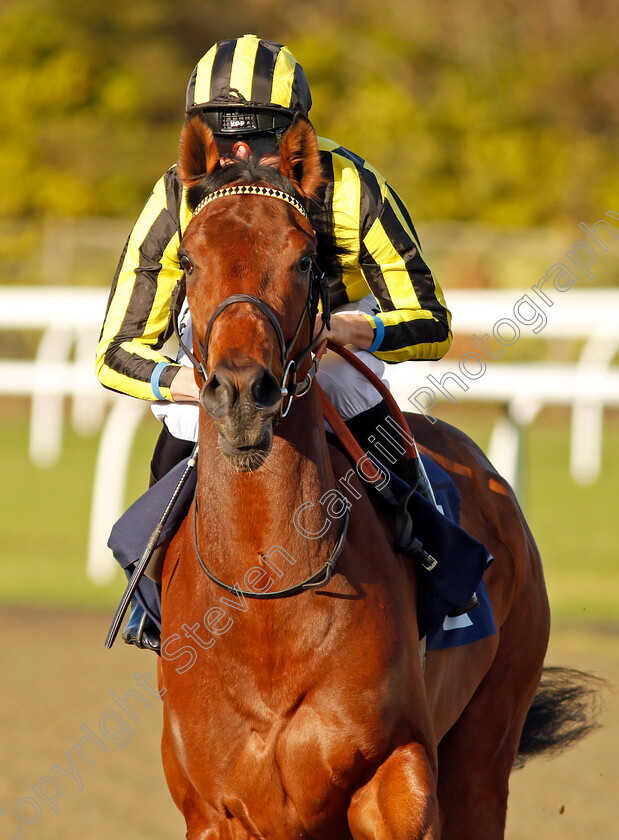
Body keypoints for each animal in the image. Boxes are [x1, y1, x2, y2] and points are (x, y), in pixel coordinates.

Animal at [157, 116, 584, 840]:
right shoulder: (215, 809)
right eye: (187, 260)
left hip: (488, 737)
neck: (268, 599)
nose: (242, 393)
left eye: (305, 259)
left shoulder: (396, 777)